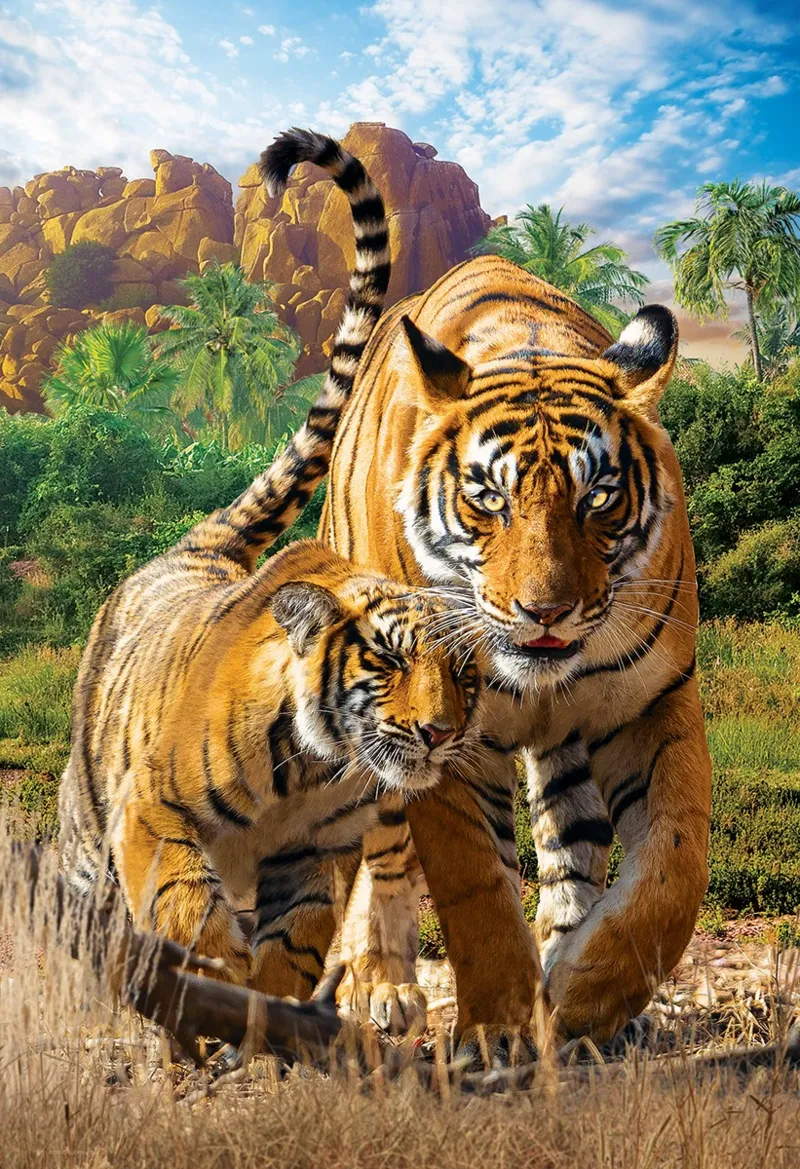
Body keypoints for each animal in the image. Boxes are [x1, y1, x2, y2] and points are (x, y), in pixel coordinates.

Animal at [57, 130, 483, 1004]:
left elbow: (297, 939)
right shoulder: (151, 810)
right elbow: (187, 902)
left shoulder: (315, 855)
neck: (316, 771)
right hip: (87, 815)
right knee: (88, 896)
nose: (439, 732)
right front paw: (211, 978)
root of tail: (196, 548)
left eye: (465, 673)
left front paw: (269, 1004)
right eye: (389, 660)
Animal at [256, 131, 711, 1049]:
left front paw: (585, 998)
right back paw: (382, 986)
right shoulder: (439, 737)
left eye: (598, 497)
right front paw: (499, 1029)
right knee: (384, 854)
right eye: (488, 498)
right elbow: (475, 888)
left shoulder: (656, 700)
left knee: (572, 842)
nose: (546, 611)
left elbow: (672, 869)